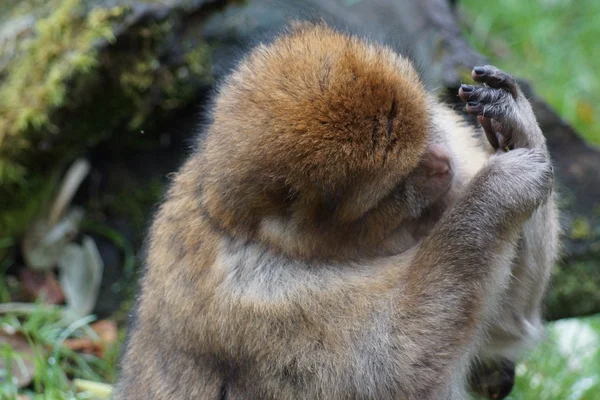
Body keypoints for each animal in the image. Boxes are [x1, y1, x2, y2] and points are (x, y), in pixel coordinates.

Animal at [112, 22, 556, 400]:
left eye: (427, 128)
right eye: (396, 186)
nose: (442, 163)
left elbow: (509, 321)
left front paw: (516, 119)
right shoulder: (256, 298)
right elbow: (391, 372)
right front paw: (497, 189)